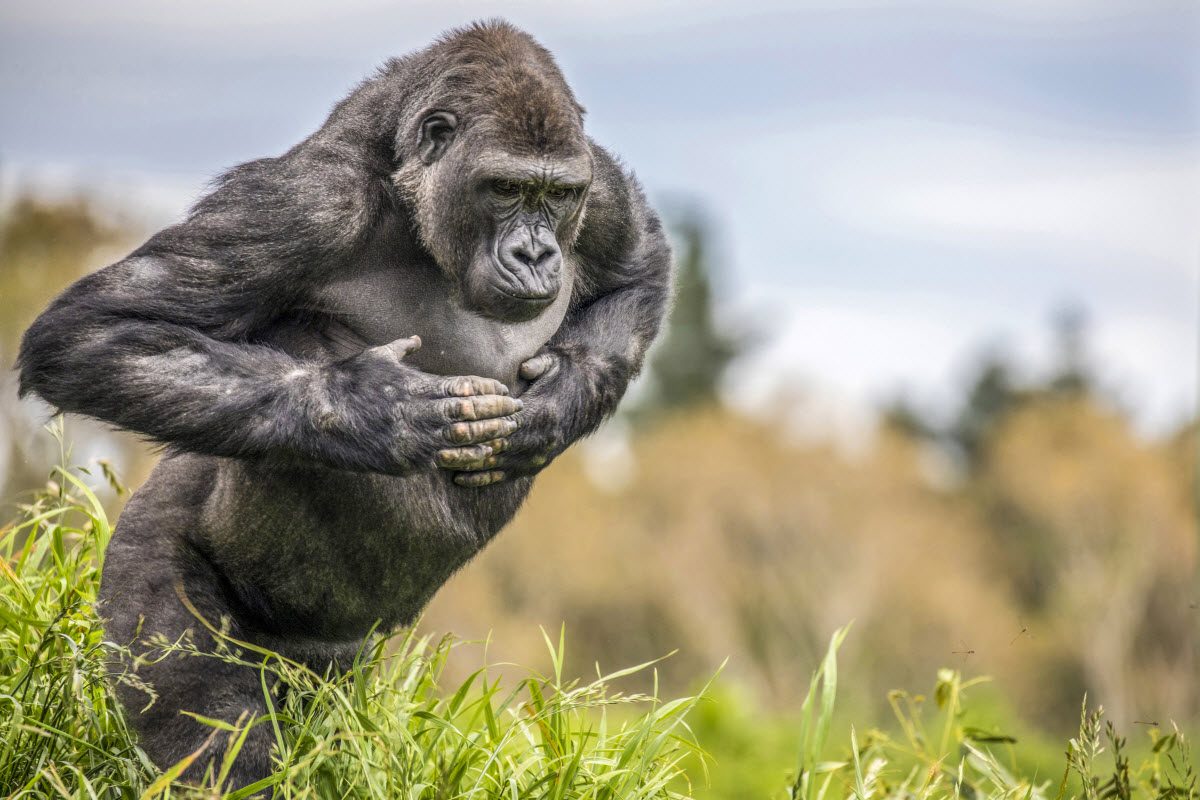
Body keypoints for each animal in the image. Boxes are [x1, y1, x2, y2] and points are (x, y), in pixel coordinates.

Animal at [16, 21, 672, 786]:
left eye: (558, 195)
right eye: (506, 189)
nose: (538, 254)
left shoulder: (601, 188)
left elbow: (640, 263)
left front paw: (558, 401)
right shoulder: (304, 204)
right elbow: (94, 331)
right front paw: (371, 409)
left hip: (334, 671)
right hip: (146, 557)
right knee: (217, 733)